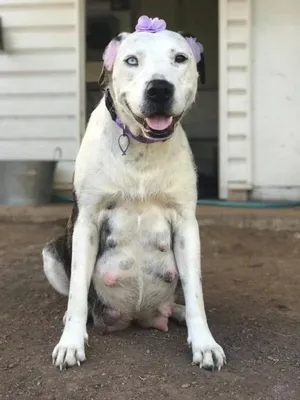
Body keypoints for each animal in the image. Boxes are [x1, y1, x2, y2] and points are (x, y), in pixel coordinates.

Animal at [41, 16, 225, 372]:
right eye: (131, 60)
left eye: (180, 58)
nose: (159, 88)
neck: (142, 147)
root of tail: (137, 317)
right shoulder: (86, 221)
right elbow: (77, 289)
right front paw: (71, 342)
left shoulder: (186, 225)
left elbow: (196, 293)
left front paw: (205, 343)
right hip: (52, 252)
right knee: (77, 295)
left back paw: (178, 311)